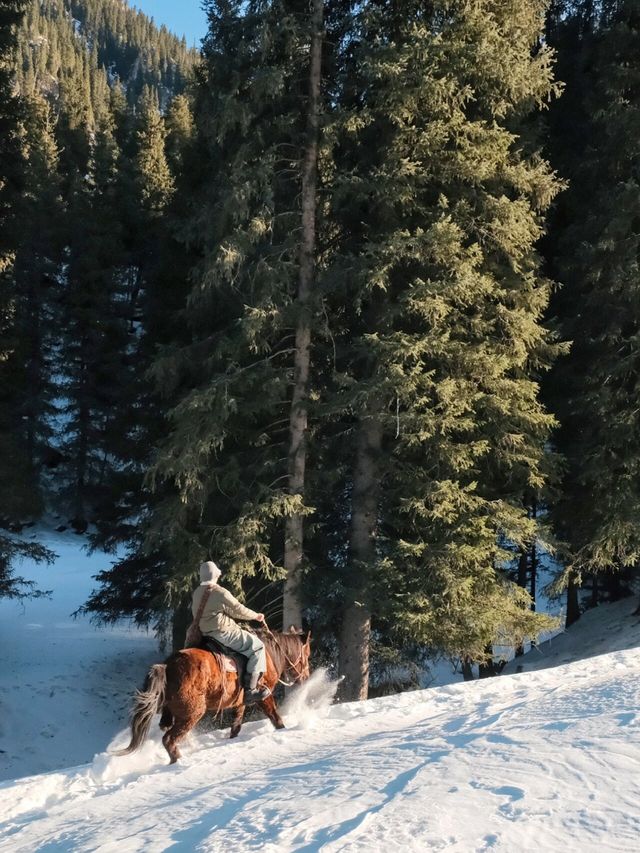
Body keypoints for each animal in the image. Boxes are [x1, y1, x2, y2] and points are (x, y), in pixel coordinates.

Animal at [119, 624, 312, 764]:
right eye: (307, 654)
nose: (306, 677)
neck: (269, 654)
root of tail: (167, 667)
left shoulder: (240, 701)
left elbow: (237, 724)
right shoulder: (265, 696)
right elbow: (275, 717)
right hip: (191, 714)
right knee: (169, 739)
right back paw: (179, 761)